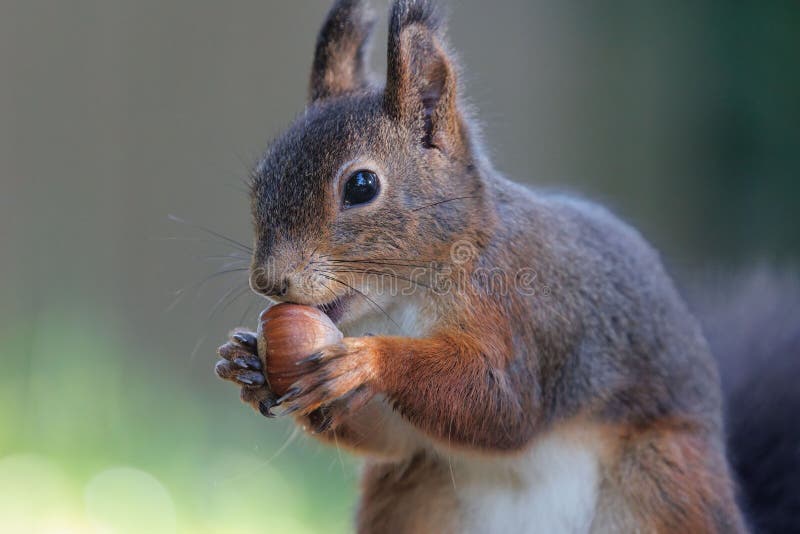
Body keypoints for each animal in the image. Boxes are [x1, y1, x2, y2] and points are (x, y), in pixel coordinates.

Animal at [212, 1, 792, 534]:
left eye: (361, 186)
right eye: (261, 178)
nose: (269, 280)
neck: (410, 298)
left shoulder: (528, 317)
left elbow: (502, 402)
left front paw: (367, 360)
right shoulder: (408, 439)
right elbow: (391, 436)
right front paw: (246, 364)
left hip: (664, 482)